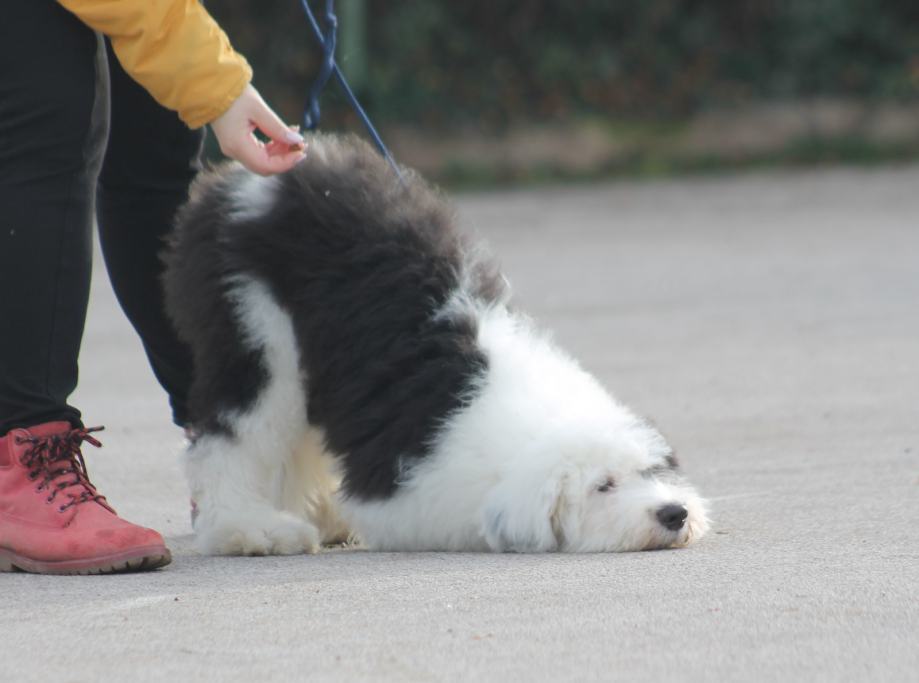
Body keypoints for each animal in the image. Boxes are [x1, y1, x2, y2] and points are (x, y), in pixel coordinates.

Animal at [162, 134, 709, 555]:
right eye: (603, 486)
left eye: (652, 470)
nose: (674, 513)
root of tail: (248, 180)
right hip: (256, 332)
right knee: (233, 438)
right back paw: (250, 530)